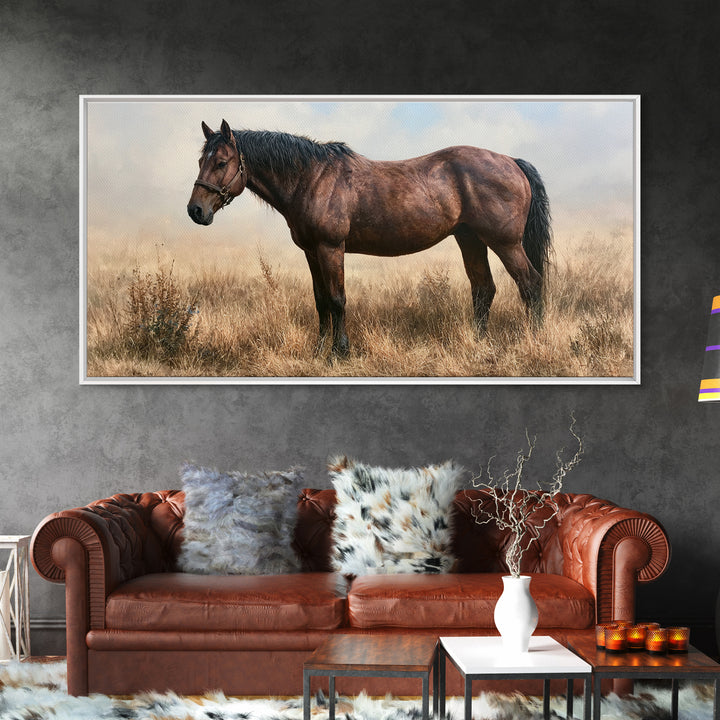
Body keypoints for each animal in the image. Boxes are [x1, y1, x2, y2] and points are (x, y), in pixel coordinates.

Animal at [187, 119, 552, 358]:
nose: (196, 210)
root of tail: (512, 162)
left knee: (530, 283)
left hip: (504, 243)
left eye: (221, 162)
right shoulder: (311, 252)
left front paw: (340, 352)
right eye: (201, 160)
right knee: (483, 289)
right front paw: (318, 351)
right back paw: (477, 343)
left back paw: (532, 340)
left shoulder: (331, 249)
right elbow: (321, 301)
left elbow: (337, 300)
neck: (311, 178)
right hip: (471, 240)